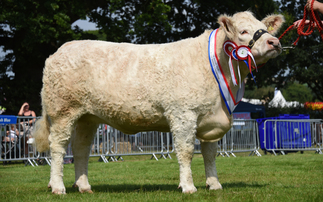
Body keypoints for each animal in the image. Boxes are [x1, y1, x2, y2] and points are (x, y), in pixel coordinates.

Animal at [34, 11, 284, 194]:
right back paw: (58, 187)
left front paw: (214, 184)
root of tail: (61, 50)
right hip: (63, 111)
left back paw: (84, 186)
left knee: (81, 149)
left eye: (263, 27)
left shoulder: (211, 118)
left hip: (88, 116)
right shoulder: (183, 114)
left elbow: (210, 153)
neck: (211, 63)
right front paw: (188, 187)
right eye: (244, 31)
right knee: (58, 147)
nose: (274, 42)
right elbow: (185, 151)